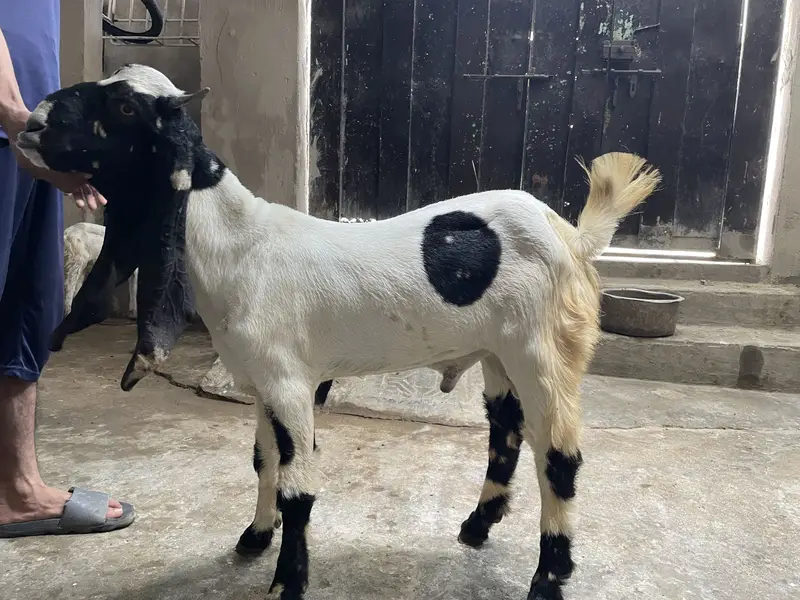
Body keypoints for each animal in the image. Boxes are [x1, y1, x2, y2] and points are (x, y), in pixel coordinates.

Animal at [16, 64, 660, 600]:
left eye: (126, 106)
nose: (32, 121)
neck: (239, 246)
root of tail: (572, 236)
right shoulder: (261, 383)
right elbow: (263, 462)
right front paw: (255, 537)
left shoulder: (289, 382)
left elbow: (297, 487)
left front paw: (287, 583)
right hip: (498, 352)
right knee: (506, 431)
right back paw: (477, 527)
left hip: (546, 350)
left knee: (559, 457)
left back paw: (548, 578)